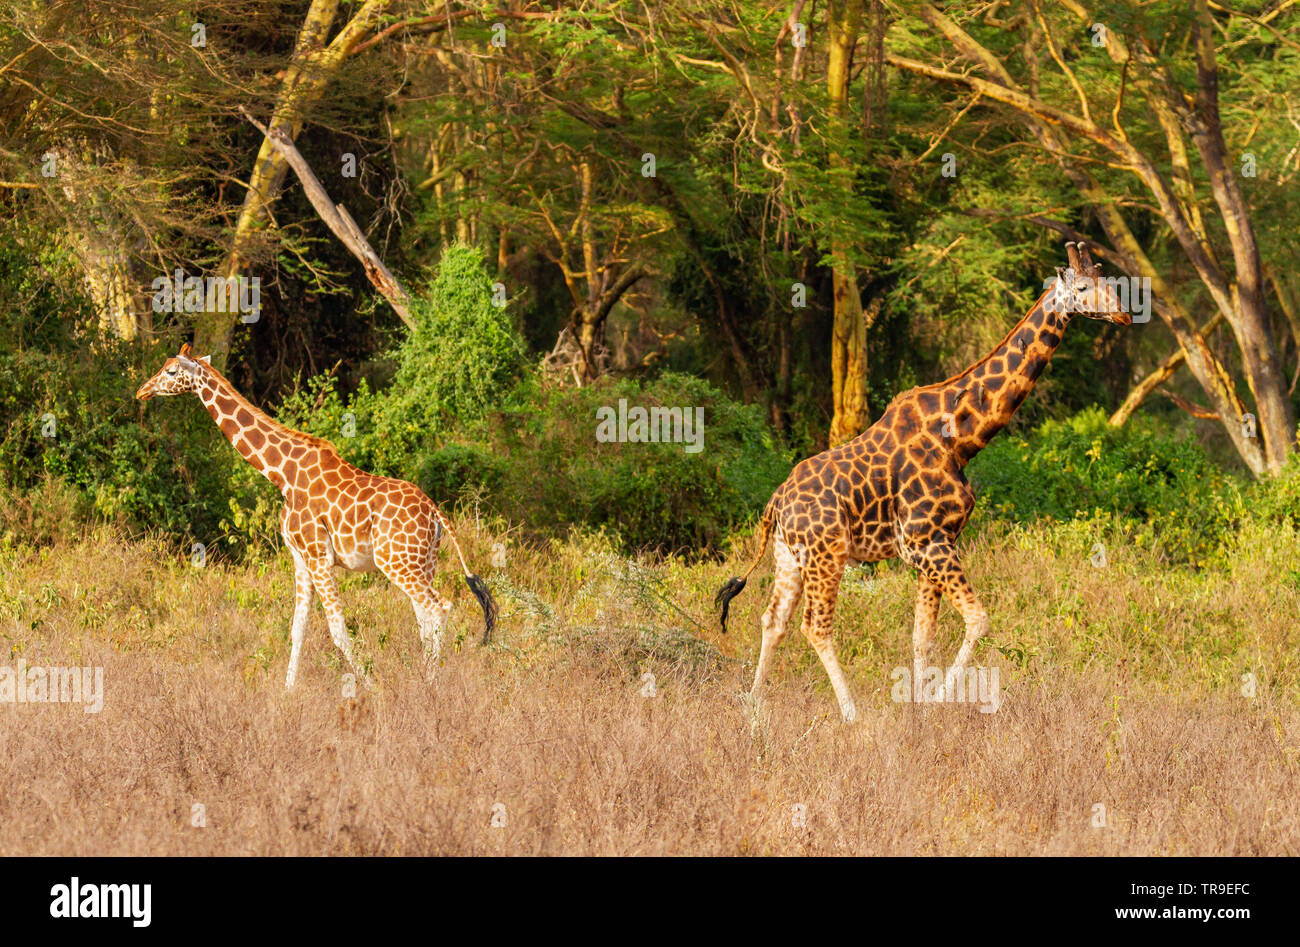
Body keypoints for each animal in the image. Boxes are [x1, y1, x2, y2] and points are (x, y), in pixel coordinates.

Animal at [134, 343, 493, 686]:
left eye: (171, 371)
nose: (142, 391)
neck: (281, 474)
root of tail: (435, 512)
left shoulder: (318, 556)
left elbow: (338, 631)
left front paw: (372, 688)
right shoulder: (300, 558)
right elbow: (297, 631)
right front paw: (288, 694)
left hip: (396, 561)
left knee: (439, 607)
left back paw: (430, 685)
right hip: (423, 562)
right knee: (424, 617)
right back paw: (427, 678)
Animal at [717, 241, 1133, 718]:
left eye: (1110, 283)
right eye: (1082, 287)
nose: (1123, 315)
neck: (961, 437)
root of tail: (775, 502)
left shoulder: (931, 547)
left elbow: (922, 637)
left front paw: (918, 709)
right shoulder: (929, 542)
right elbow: (978, 619)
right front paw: (937, 701)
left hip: (790, 555)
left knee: (774, 619)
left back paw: (754, 707)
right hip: (828, 554)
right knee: (815, 626)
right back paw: (851, 713)